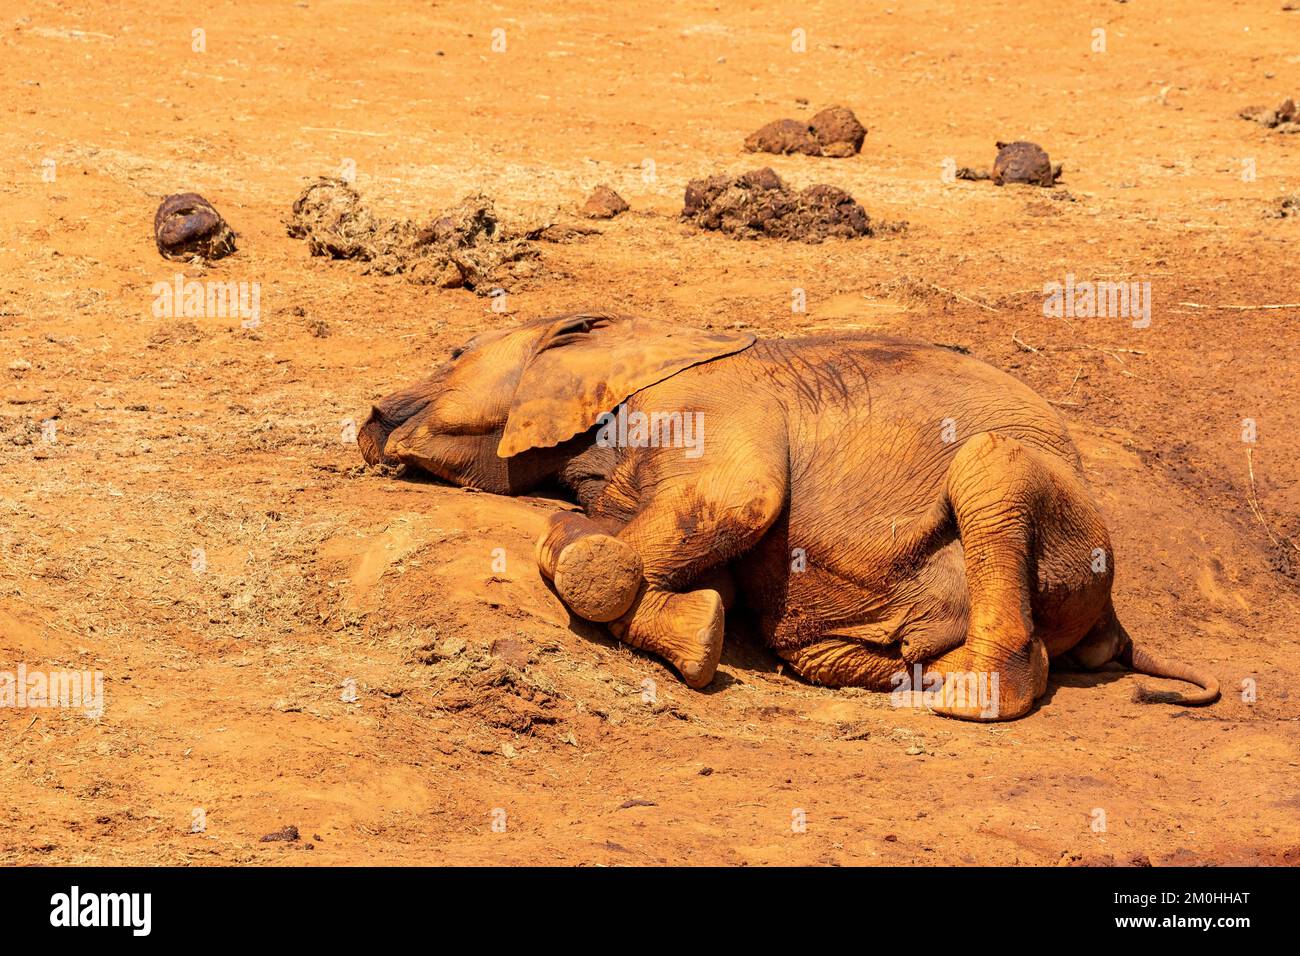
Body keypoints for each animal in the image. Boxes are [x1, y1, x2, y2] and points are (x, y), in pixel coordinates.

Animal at [358, 310, 1216, 723]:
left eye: (455, 354)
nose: (368, 416)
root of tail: (1113, 621)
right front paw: (702, 628)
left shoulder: (708, 401)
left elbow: (737, 500)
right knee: (807, 645)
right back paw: (922, 680)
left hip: (1056, 520)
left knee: (991, 468)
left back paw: (963, 698)